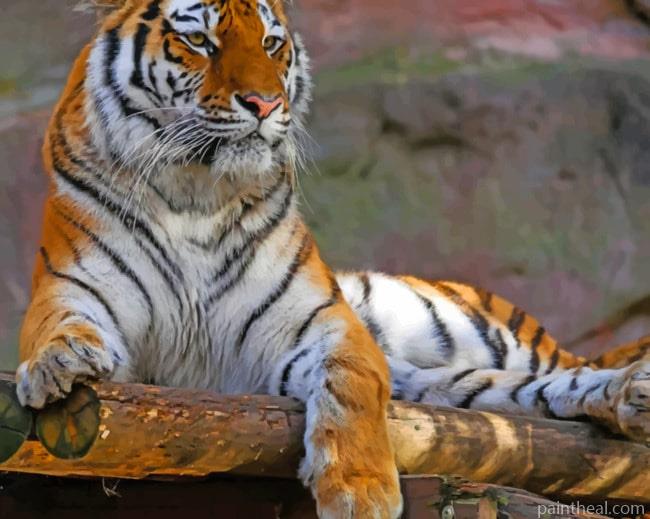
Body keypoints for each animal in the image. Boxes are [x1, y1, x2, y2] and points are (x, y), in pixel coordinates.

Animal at [14, 0, 650, 517]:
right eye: (198, 40)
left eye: (271, 43)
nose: (265, 102)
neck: (196, 192)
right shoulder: (71, 288)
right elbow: (56, 327)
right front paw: (59, 363)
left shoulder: (323, 323)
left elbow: (351, 388)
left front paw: (360, 494)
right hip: (456, 384)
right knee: (534, 394)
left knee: (568, 370)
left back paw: (632, 389)